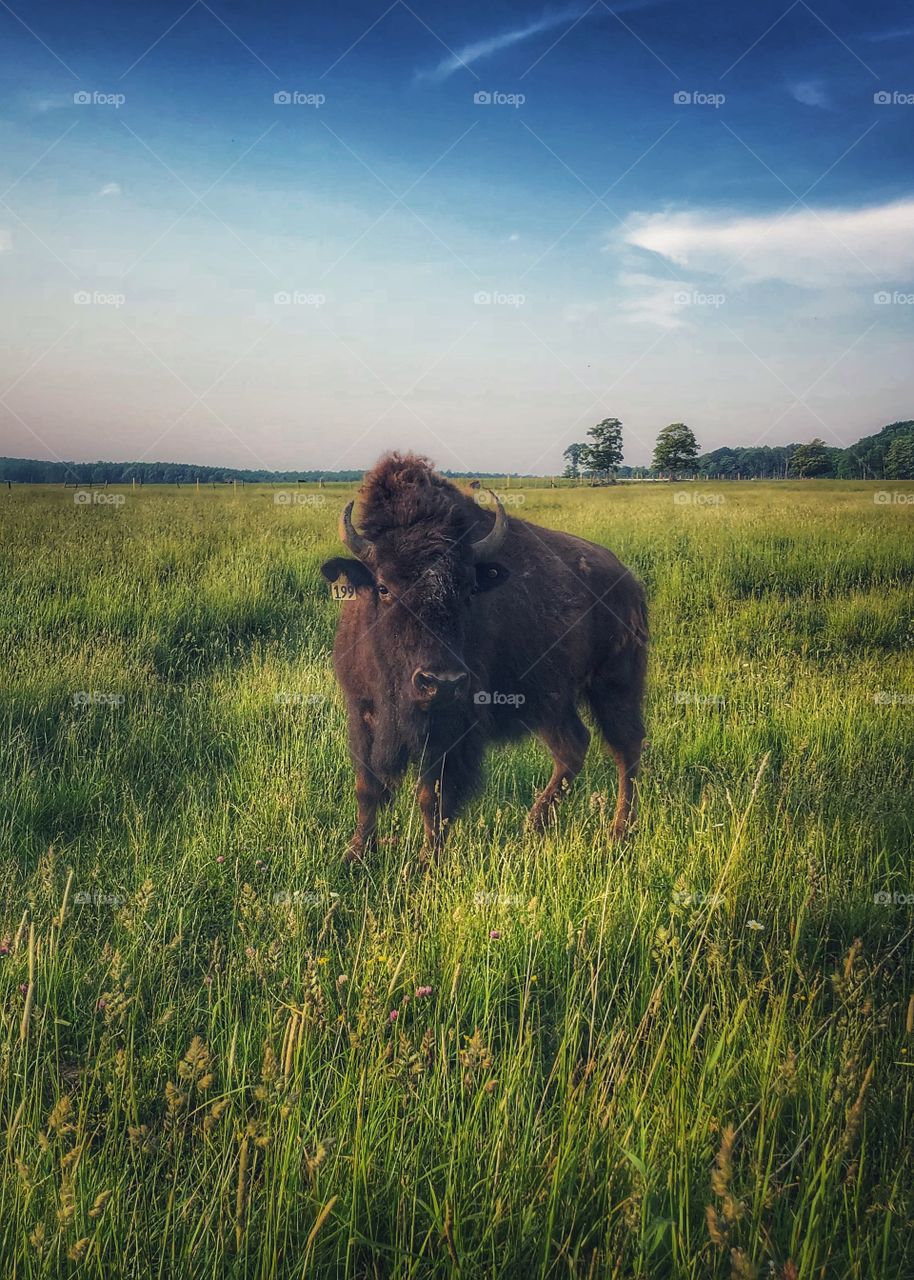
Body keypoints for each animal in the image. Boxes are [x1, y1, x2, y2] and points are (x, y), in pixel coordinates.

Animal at [320, 453, 647, 861]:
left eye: (469, 590)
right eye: (383, 588)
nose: (440, 683)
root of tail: (629, 580)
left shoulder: (452, 727)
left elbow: (432, 797)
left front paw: (427, 862)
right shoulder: (363, 711)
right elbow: (368, 788)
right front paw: (355, 853)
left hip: (614, 686)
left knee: (626, 750)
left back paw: (619, 832)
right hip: (551, 702)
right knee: (574, 746)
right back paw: (534, 824)